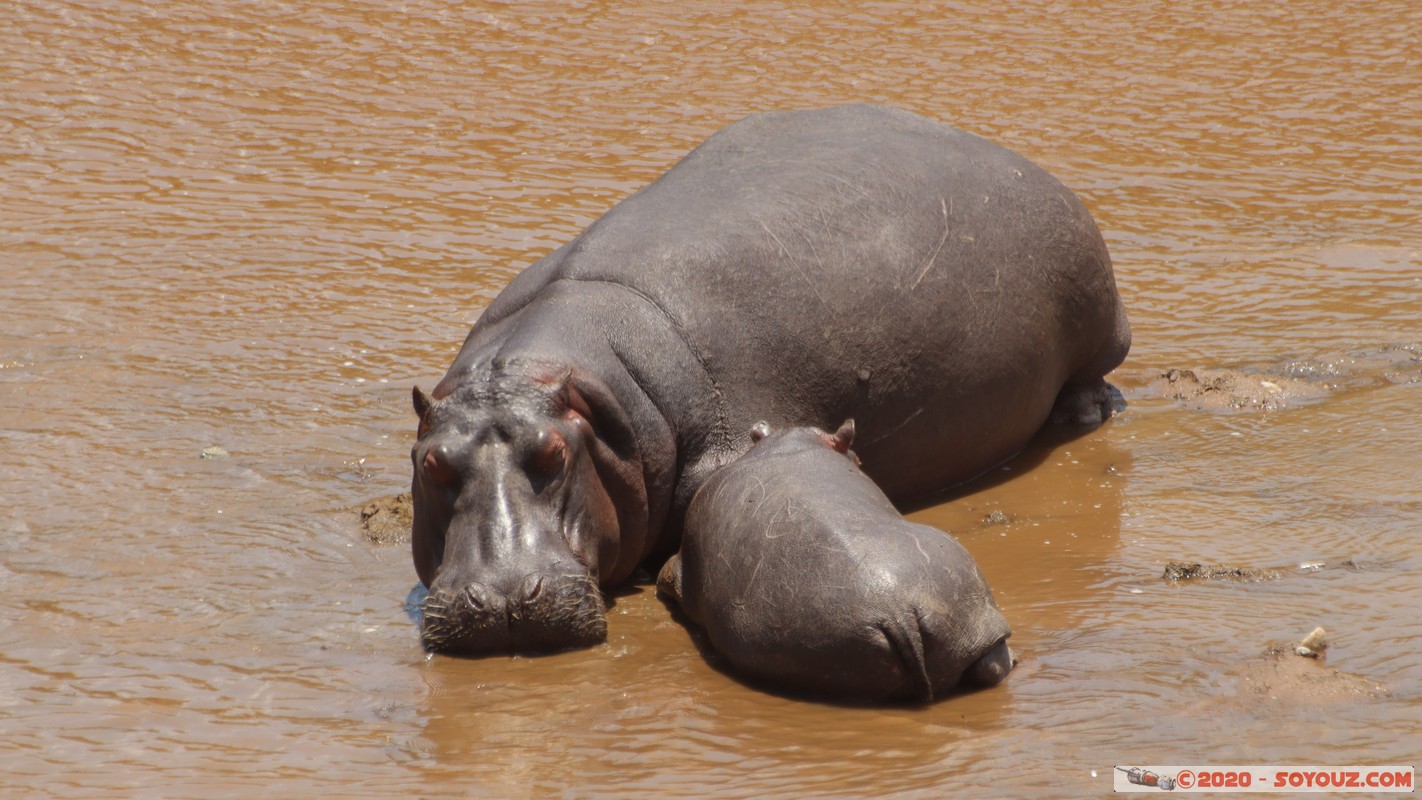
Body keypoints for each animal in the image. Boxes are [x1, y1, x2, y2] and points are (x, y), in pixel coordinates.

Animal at [411, 103, 1130, 656]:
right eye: (430, 463)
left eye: (555, 454)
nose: (504, 598)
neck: (593, 397)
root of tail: (1012, 155)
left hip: (1100, 326)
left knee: (1095, 375)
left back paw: (1084, 413)